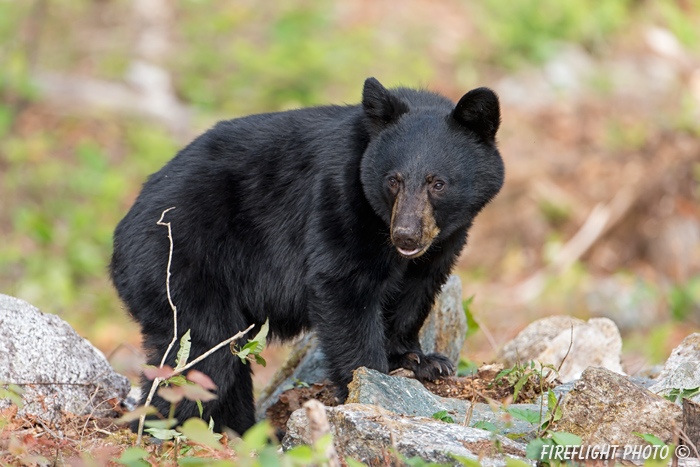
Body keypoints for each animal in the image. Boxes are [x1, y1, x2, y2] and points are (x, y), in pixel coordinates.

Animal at [108, 77, 504, 436]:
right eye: (393, 180)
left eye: (438, 183)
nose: (405, 234)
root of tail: (119, 239)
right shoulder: (338, 198)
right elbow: (342, 286)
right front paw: (372, 381)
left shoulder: (444, 240)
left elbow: (414, 292)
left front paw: (421, 361)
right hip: (179, 265)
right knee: (201, 356)